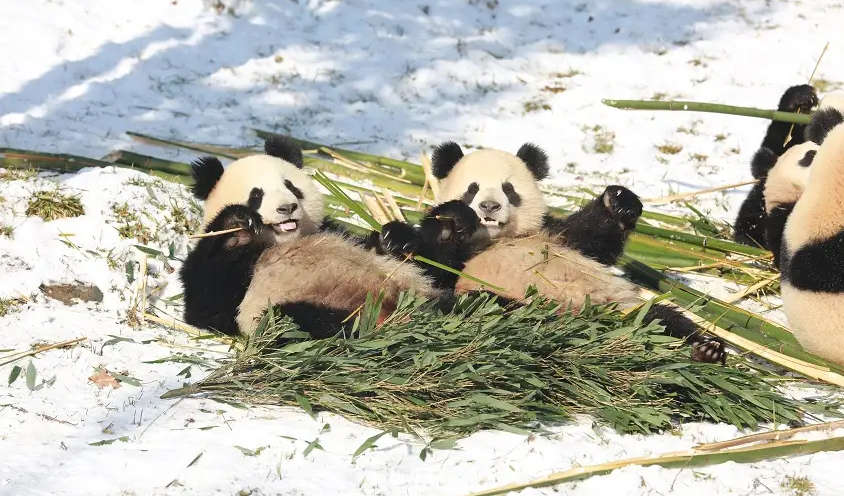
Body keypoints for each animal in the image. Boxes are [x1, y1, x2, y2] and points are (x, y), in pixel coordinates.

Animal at [178, 135, 444, 340]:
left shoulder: (332, 230)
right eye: (256, 196)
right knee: (299, 321)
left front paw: (395, 239)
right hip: (296, 307)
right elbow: (207, 304)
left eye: (290, 186)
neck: (281, 242)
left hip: (414, 288)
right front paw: (236, 228)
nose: (287, 207)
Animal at [377, 141, 727, 364]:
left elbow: (594, 240)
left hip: (622, 308)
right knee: (488, 305)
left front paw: (619, 201)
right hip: (507, 305)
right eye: (472, 189)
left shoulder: (553, 235)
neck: (493, 241)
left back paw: (706, 349)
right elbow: (434, 267)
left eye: (508, 189)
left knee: (663, 319)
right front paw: (451, 219)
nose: (488, 207)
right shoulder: (457, 266)